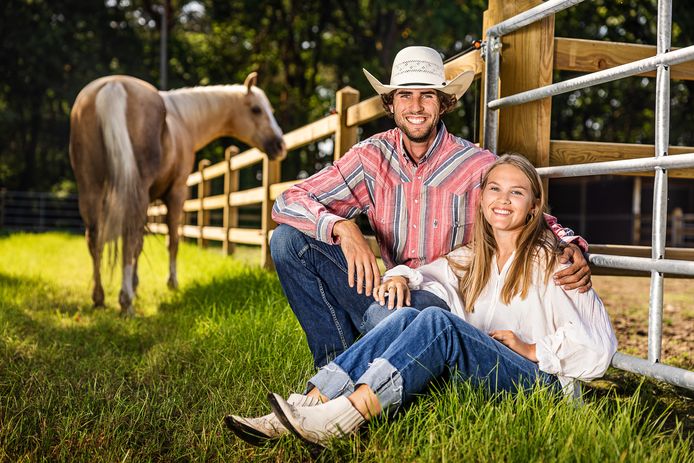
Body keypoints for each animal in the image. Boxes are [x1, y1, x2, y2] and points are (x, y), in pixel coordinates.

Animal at [69, 72, 286, 318]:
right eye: (256, 109)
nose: (280, 145)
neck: (182, 120)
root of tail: (114, 85)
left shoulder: (148, 200)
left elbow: (140, 245)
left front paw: (135, 283)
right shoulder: (176, 192)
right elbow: (171, 240)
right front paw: (171, 283)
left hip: (90, 187)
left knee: (95, 238)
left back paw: (99, 297)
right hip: (132, 190)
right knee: (127, 237)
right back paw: (125, 301)